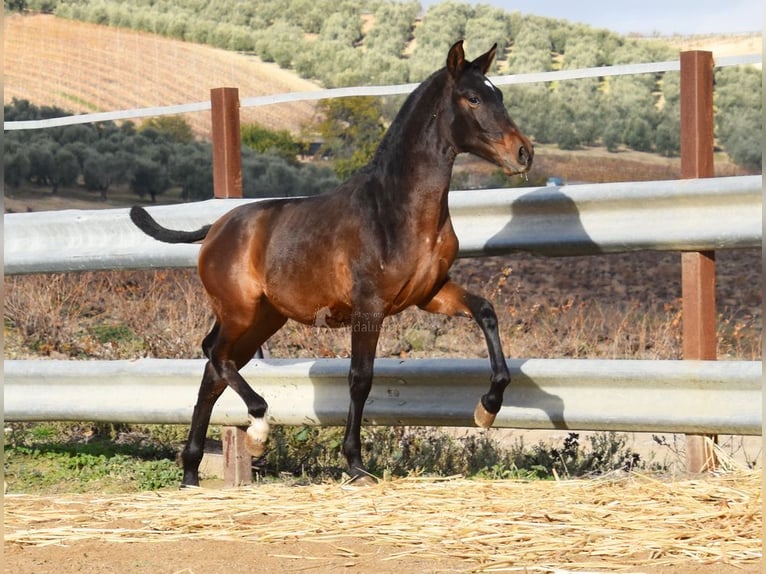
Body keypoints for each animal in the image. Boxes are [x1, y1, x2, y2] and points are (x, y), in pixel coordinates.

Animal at [130, 40, 536, 486]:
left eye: (499, 95)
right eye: (473, 98)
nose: (523, 153)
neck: (396, 210)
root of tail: (215, 229)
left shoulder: (431, 292)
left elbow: (485, 311)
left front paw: (488, 408)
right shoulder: (368, 305)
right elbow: (360, 378)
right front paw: (356, 464)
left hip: (263, 318)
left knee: (214, 371)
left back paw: (191, 471)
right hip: (239, 311)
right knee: (216, 357)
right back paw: (257, 429)